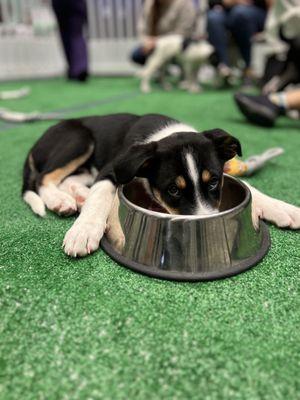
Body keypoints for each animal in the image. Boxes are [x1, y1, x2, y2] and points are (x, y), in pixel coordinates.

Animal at [22, 112, 300, 256]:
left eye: (213, 183)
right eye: (173, 190)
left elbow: (252, 188)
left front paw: (284, 209)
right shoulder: (112, 168)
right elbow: (100, 197)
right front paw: (84, 231)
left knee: (67, 179)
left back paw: (77, 196)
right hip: (80, 138)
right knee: (43, 178)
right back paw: (60, 201)